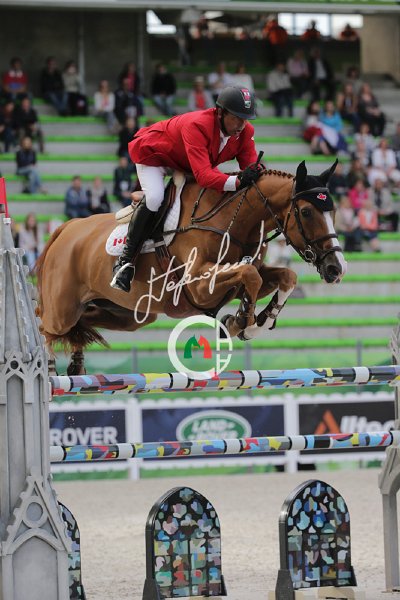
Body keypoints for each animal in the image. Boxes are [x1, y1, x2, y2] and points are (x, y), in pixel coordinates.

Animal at [36, 160, 347, 375]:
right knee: (45, 323)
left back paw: (76, 364)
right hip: (62, 309)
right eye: (306, 212)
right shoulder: (198, 286)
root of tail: (66, 228)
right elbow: (250, 275)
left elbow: (282, 276)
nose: (336, 269)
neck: (235, 221)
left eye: (332, 211)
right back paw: (49, 368)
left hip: (128, 314)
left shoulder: (234, 281)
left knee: (83, 322)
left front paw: (254, 323)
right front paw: (242, 321)